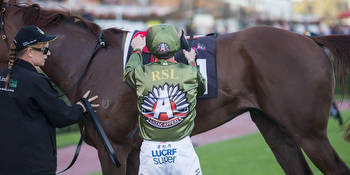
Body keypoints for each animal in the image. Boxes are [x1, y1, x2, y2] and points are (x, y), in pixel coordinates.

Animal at [0, 0, 348, 174]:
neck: (91, 62)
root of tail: (310, 39)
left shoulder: (113, 150)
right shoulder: (133, 152)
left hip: (309, 132)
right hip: (275, 128)